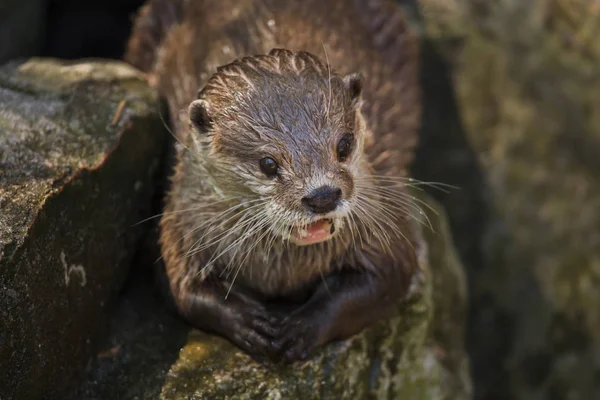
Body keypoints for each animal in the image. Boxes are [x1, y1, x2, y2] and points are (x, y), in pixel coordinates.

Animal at [125, 0, 422, 362]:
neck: (280, 272)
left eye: (344, 145)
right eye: (268, 163)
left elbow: (389, 276)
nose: (323, 195)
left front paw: (302, 327)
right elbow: (184, 289)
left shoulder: (382, 221)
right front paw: (249, 323)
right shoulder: (181, 227)